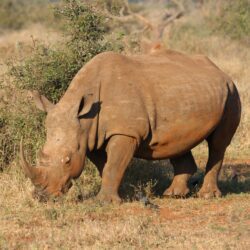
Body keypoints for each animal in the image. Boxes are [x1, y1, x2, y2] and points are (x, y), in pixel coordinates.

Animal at [20, 49, 241, 203]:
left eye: (67, 160)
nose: (42, 196)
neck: (85, 118)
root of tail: (220, 70)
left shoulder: (126, 132)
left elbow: (113, 165)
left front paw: (104, 202)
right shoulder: (91, 137)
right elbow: (106, 166)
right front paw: (122, 195)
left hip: (231, 92)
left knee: (218, 144)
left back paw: (207, 196)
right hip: (189, 93)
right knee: (178, 141)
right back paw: (173, 195)